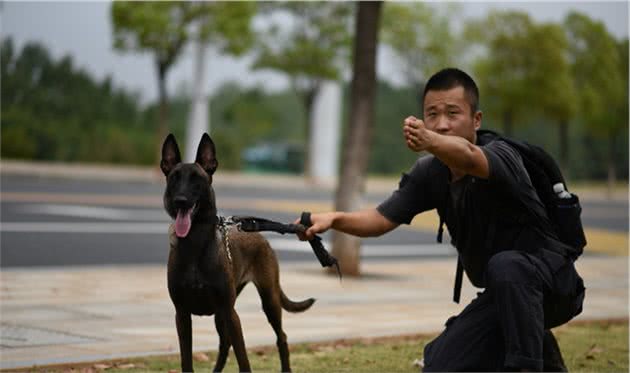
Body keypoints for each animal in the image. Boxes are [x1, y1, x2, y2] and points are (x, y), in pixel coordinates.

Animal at [159, 132, 314, 370]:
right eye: (174, 177)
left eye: (197, 178)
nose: (180, 201)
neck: (195, 244)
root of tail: (258, 234)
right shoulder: (182, 315)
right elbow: (187, 361)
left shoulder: (231, 313)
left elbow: (244, 360)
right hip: (220, 316)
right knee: (225, 344)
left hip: (267, 300)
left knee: (281, 337)